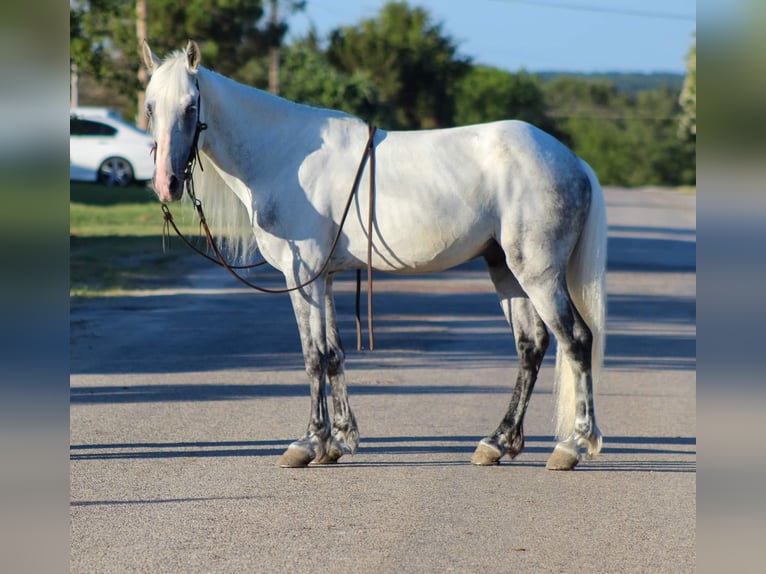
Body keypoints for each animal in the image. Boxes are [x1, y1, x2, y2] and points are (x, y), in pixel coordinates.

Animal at [142, 40, 607, 470]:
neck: (284, 155)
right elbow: (333, 354)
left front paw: (308, 443)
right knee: (532, 345)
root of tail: (574, 162)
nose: (166, 184)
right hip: (505, 269)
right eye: (149, 107)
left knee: (576, 340)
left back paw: (572, 445)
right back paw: (497, 442)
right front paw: (338, 441)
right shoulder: (324, 276)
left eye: (190, 107)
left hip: (538, 273)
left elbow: (312, 356)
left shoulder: (302, 276)